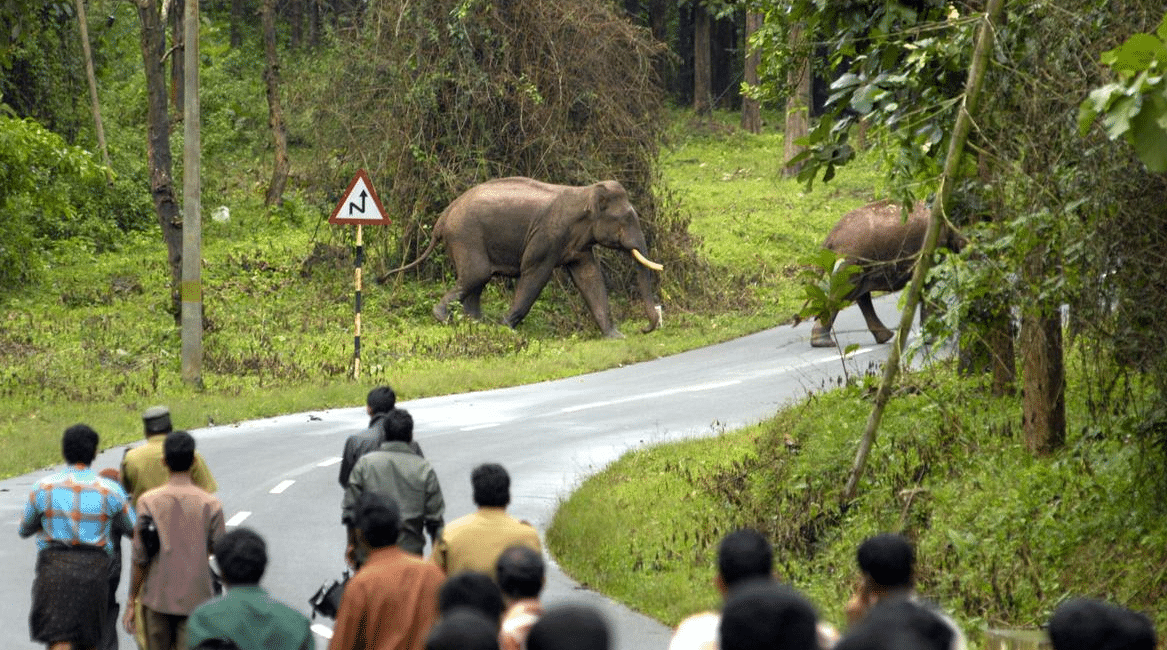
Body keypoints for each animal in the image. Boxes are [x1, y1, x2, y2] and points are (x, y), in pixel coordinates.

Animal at [378, 177, 664, 338]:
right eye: (625, 218)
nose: (645, 329)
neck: (584, 192)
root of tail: (443, 217)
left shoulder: (578, 244)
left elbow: (590, 278)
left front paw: (616, 337)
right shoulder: (547, 237)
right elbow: (535, 273)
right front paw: (505, 326)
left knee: (477, 281)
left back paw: (477, 323)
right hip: (466, 237)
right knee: (477, 274)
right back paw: (445, 317)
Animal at [810, 199, 962, 348]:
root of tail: (831, 236)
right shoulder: (933, 244)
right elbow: (927, 281)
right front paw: (934, 339)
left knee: (859, 294)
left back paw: (884, 337)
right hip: (851, 259)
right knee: (845, 293)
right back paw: (823, 342)